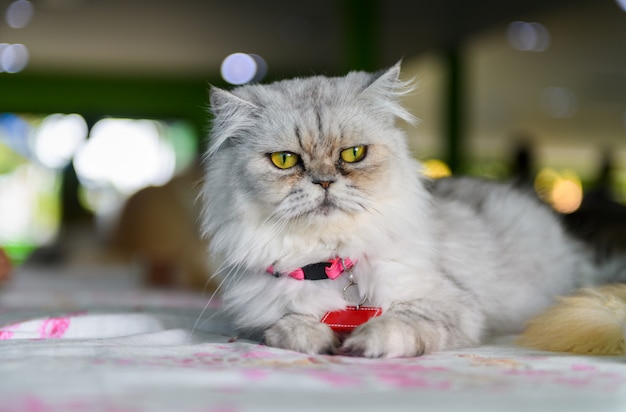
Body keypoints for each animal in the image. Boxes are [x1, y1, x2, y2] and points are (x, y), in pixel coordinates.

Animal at [201, 62, 624, 358]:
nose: (323, 183)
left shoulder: (454, 305)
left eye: (353, 154)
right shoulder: (259, 319)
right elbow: (288, 325)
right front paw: (317, 339)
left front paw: (362, 343)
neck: (329, 261)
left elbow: (402, 322)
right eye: (285, 160)